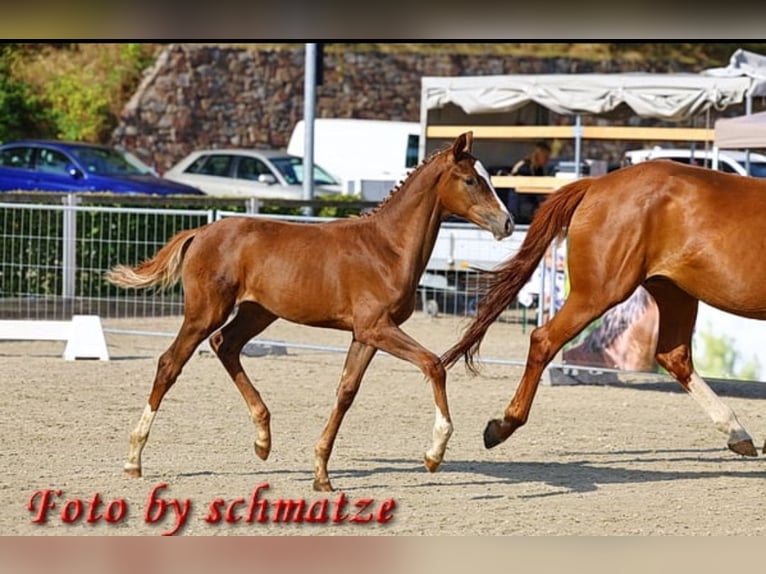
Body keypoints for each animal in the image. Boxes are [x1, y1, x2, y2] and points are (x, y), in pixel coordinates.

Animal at [106, 132, 513, 492]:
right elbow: (434, 365)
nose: (507, 222)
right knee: (171, 362)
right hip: (205, 312)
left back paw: (263, 439)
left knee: (226, 345)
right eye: (471, 180)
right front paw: (434, 453)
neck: (387, 248)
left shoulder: (365, 334)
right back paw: (133, 459)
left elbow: (346, 392)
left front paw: (321, 474)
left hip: (257, 312)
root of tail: (200, 233)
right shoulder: (377, 327)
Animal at [442, 159, 765, 458]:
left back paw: (737, 433)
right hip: (600, 292)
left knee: (675, 357)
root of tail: (595, 184)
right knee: (544, 339)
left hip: (675, 293)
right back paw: (503, 425)